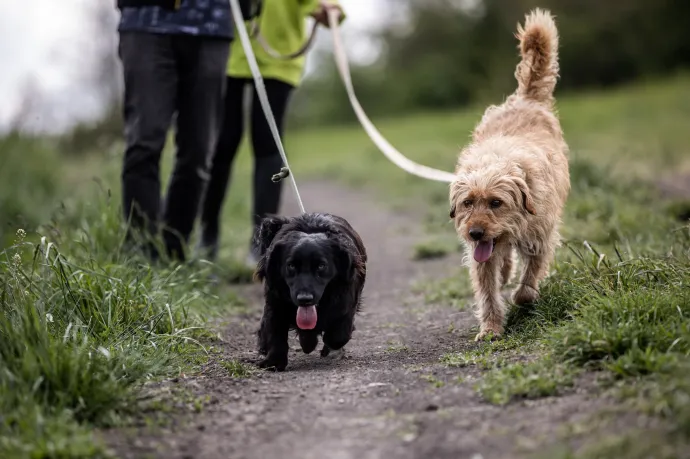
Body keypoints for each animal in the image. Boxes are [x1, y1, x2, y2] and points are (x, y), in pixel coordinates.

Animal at [251, 214, 366, 372]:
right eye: (291, 265)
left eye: (321, 266)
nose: (304, 299)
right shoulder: (275, 304)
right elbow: (275, 332)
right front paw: (274, 361)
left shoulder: (346, 304)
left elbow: (338, 336)